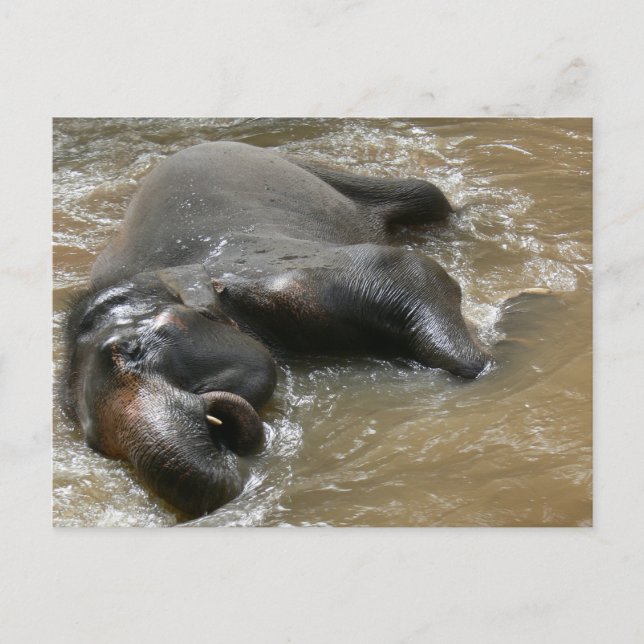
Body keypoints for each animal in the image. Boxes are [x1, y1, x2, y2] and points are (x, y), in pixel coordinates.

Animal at [64, 141, 493, 518]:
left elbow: (402, 269)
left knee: (426, 196)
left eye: (132, 349)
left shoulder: (277, 273)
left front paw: (486, 359)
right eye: (97, 445)